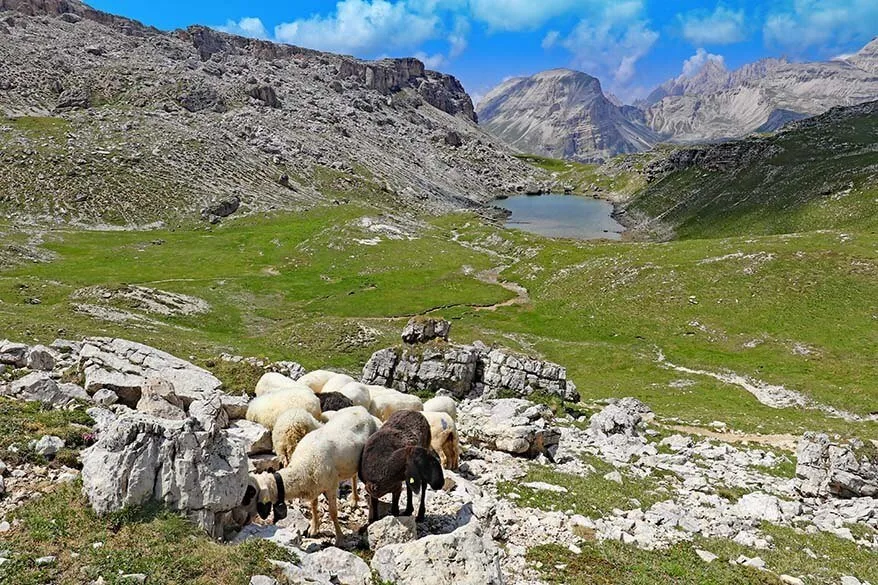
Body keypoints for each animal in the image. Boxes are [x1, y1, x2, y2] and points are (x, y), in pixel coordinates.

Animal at [242, 404, 380, 544]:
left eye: (249, 495)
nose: (242, 522)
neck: (302, 465)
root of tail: (360, 408)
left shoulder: (331, 486)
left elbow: (333, 512)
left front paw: (340, 538)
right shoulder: (313, 486)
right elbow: (314, 506)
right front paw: (314, 528)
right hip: (351, 462)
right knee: (353, 475)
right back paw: (354, 499)